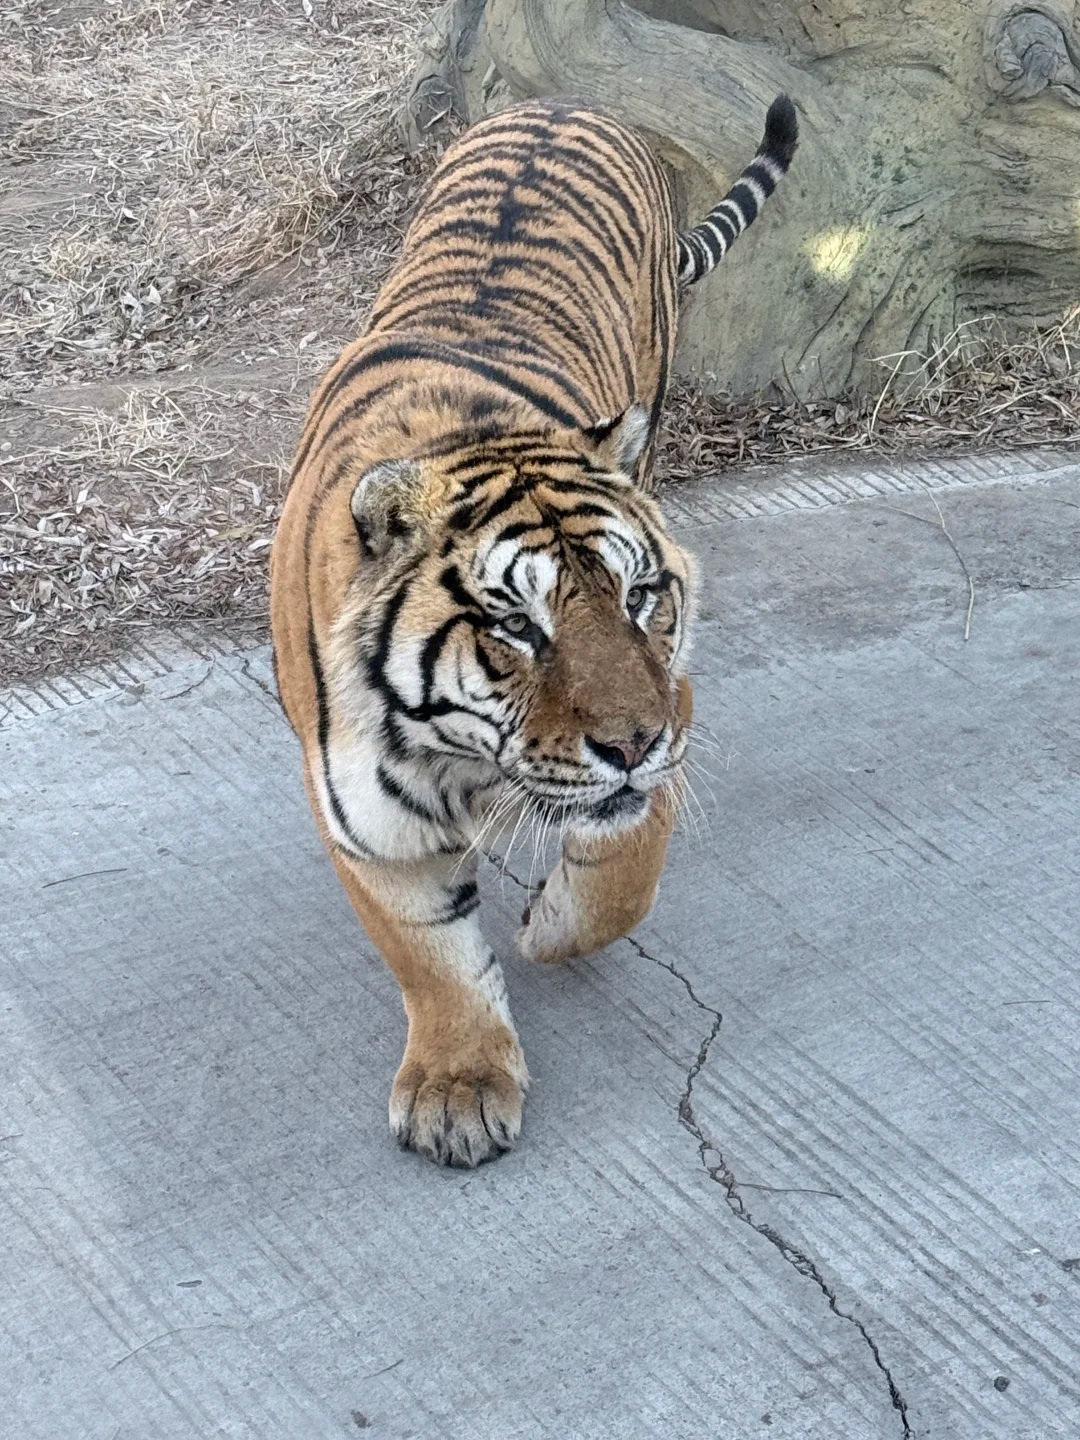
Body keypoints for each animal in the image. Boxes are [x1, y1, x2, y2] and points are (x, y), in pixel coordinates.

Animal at [270, 94, 797, 1167]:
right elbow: (431, 959)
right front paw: (459, 1090)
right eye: (516, 623)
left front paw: (549, 924)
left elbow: (619, 884)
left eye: (640, 597)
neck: (463, 753)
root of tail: (567, 104)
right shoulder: (370, 824)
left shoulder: (675, 705)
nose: (631, 744)